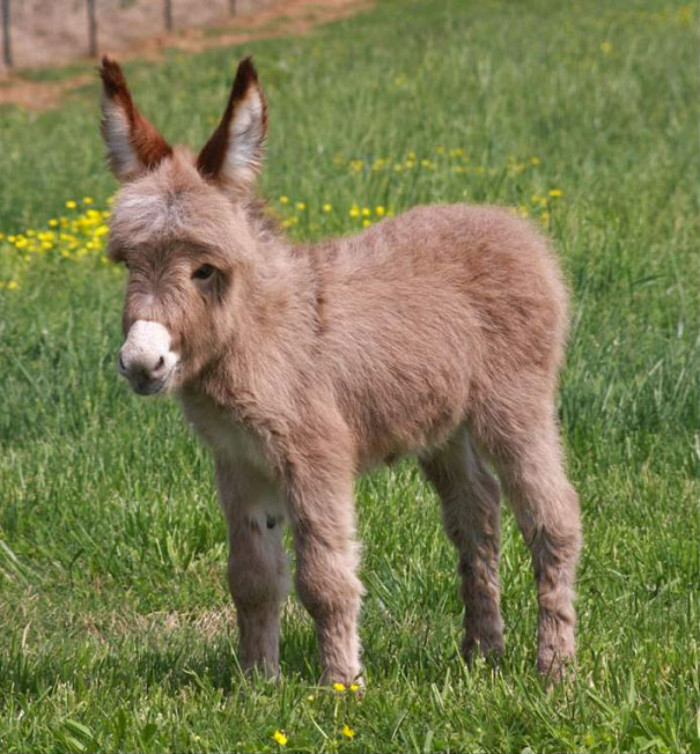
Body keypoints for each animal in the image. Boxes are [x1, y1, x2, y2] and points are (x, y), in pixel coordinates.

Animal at [98, 55, 580, 684]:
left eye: (205, 270)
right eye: (128, 263)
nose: (141, 363)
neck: (258, 336)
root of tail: (517, 228)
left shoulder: (315, 453)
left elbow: (323, 578)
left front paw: (341, 685)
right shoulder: (238, 463)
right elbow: (251, 579)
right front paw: (257, 684)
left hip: (514, 406)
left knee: (552, 517)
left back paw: (555, 667)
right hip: (444, 427)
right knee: (477, 514)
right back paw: (482, 653)